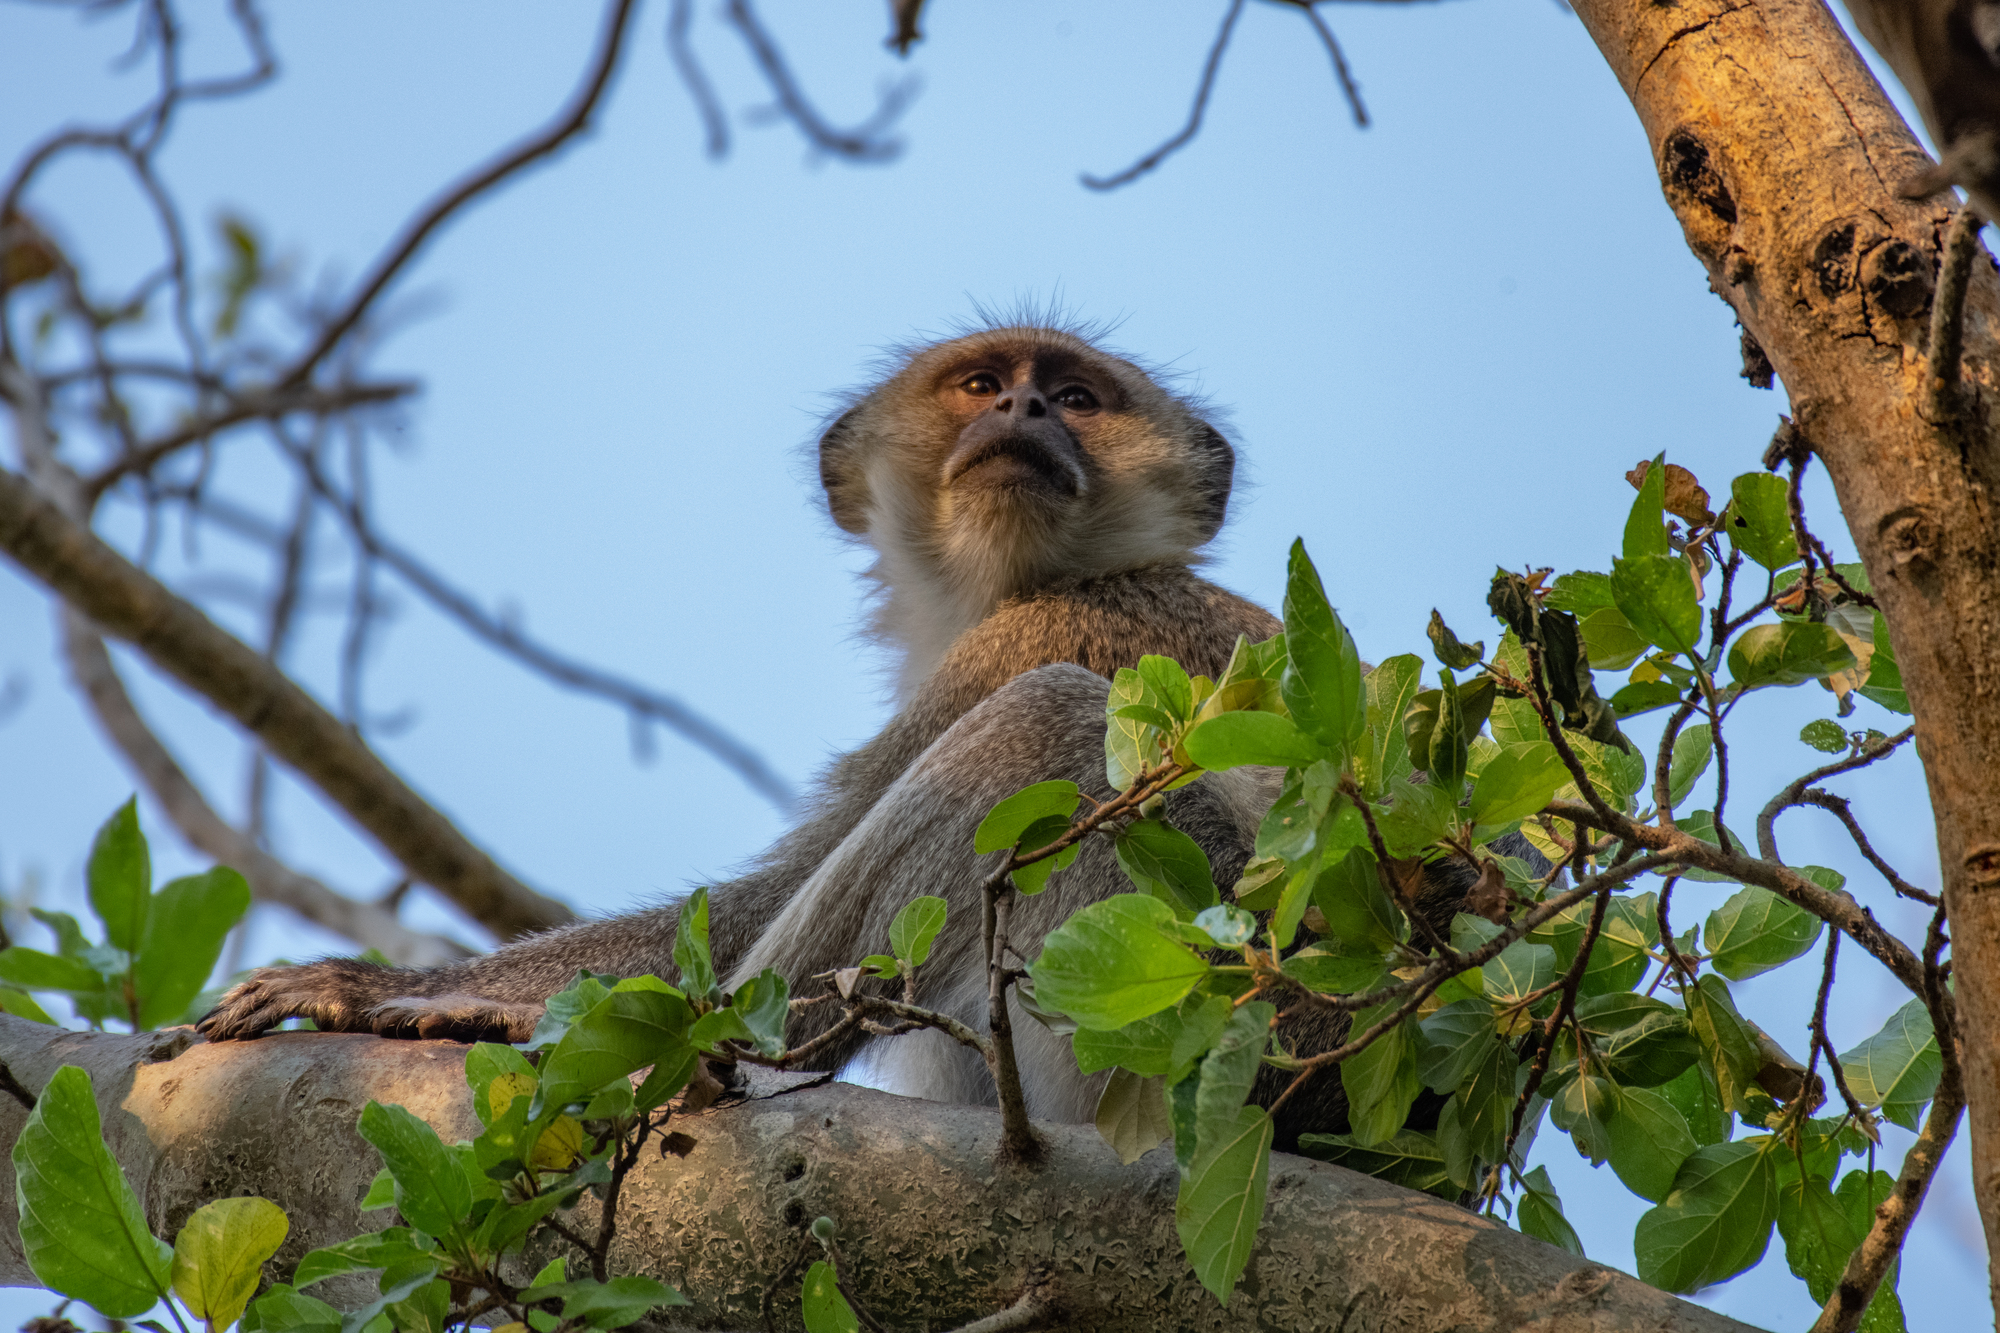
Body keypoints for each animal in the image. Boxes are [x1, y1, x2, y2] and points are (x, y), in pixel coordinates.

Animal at [203, 324, 1456, 1144]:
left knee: (1039, 732)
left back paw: (706, 1055)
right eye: (981, 382)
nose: (1022, 412)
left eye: (1077, 396)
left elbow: (790, 875)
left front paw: (395, 989)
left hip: (1225, 1006)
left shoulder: (1026, 633)